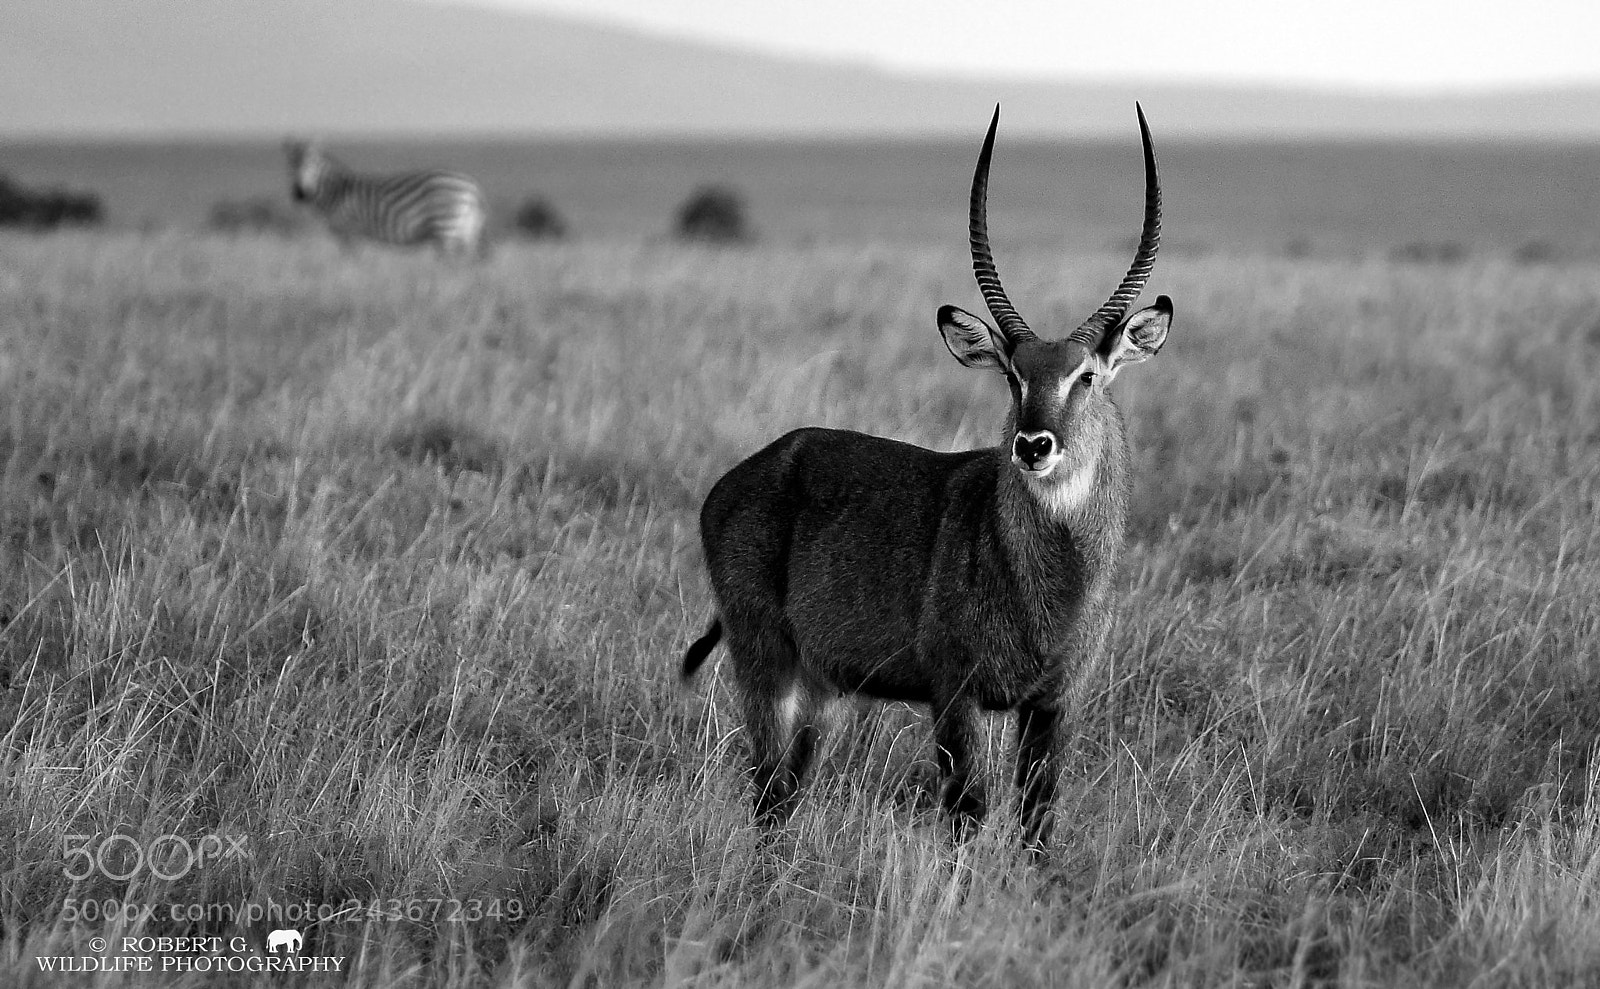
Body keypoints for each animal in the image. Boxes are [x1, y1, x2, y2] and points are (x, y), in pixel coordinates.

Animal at [284, 140, 489, 256]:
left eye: (314, 165)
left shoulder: (349, 230)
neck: (337, 191)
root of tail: (473, 186)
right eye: (290, 165)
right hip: (465, 230)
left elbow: (351, 260)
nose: (299, 193)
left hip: (445, 226)